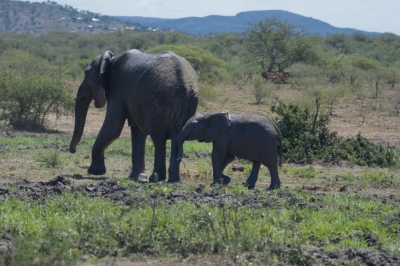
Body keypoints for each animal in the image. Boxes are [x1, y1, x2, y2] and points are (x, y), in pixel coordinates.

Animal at [70, 49, 200, 183]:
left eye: (86, 75)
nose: (73, 151)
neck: (112, 60)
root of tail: (184, 84)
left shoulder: (117, 88)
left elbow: (113, 127)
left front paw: (95, 172)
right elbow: (137, 132)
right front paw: (137, 178)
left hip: (156, 97)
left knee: (158, 136)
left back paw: (155, 178)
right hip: (191, 99)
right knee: (176, 137)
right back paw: (174, 181)